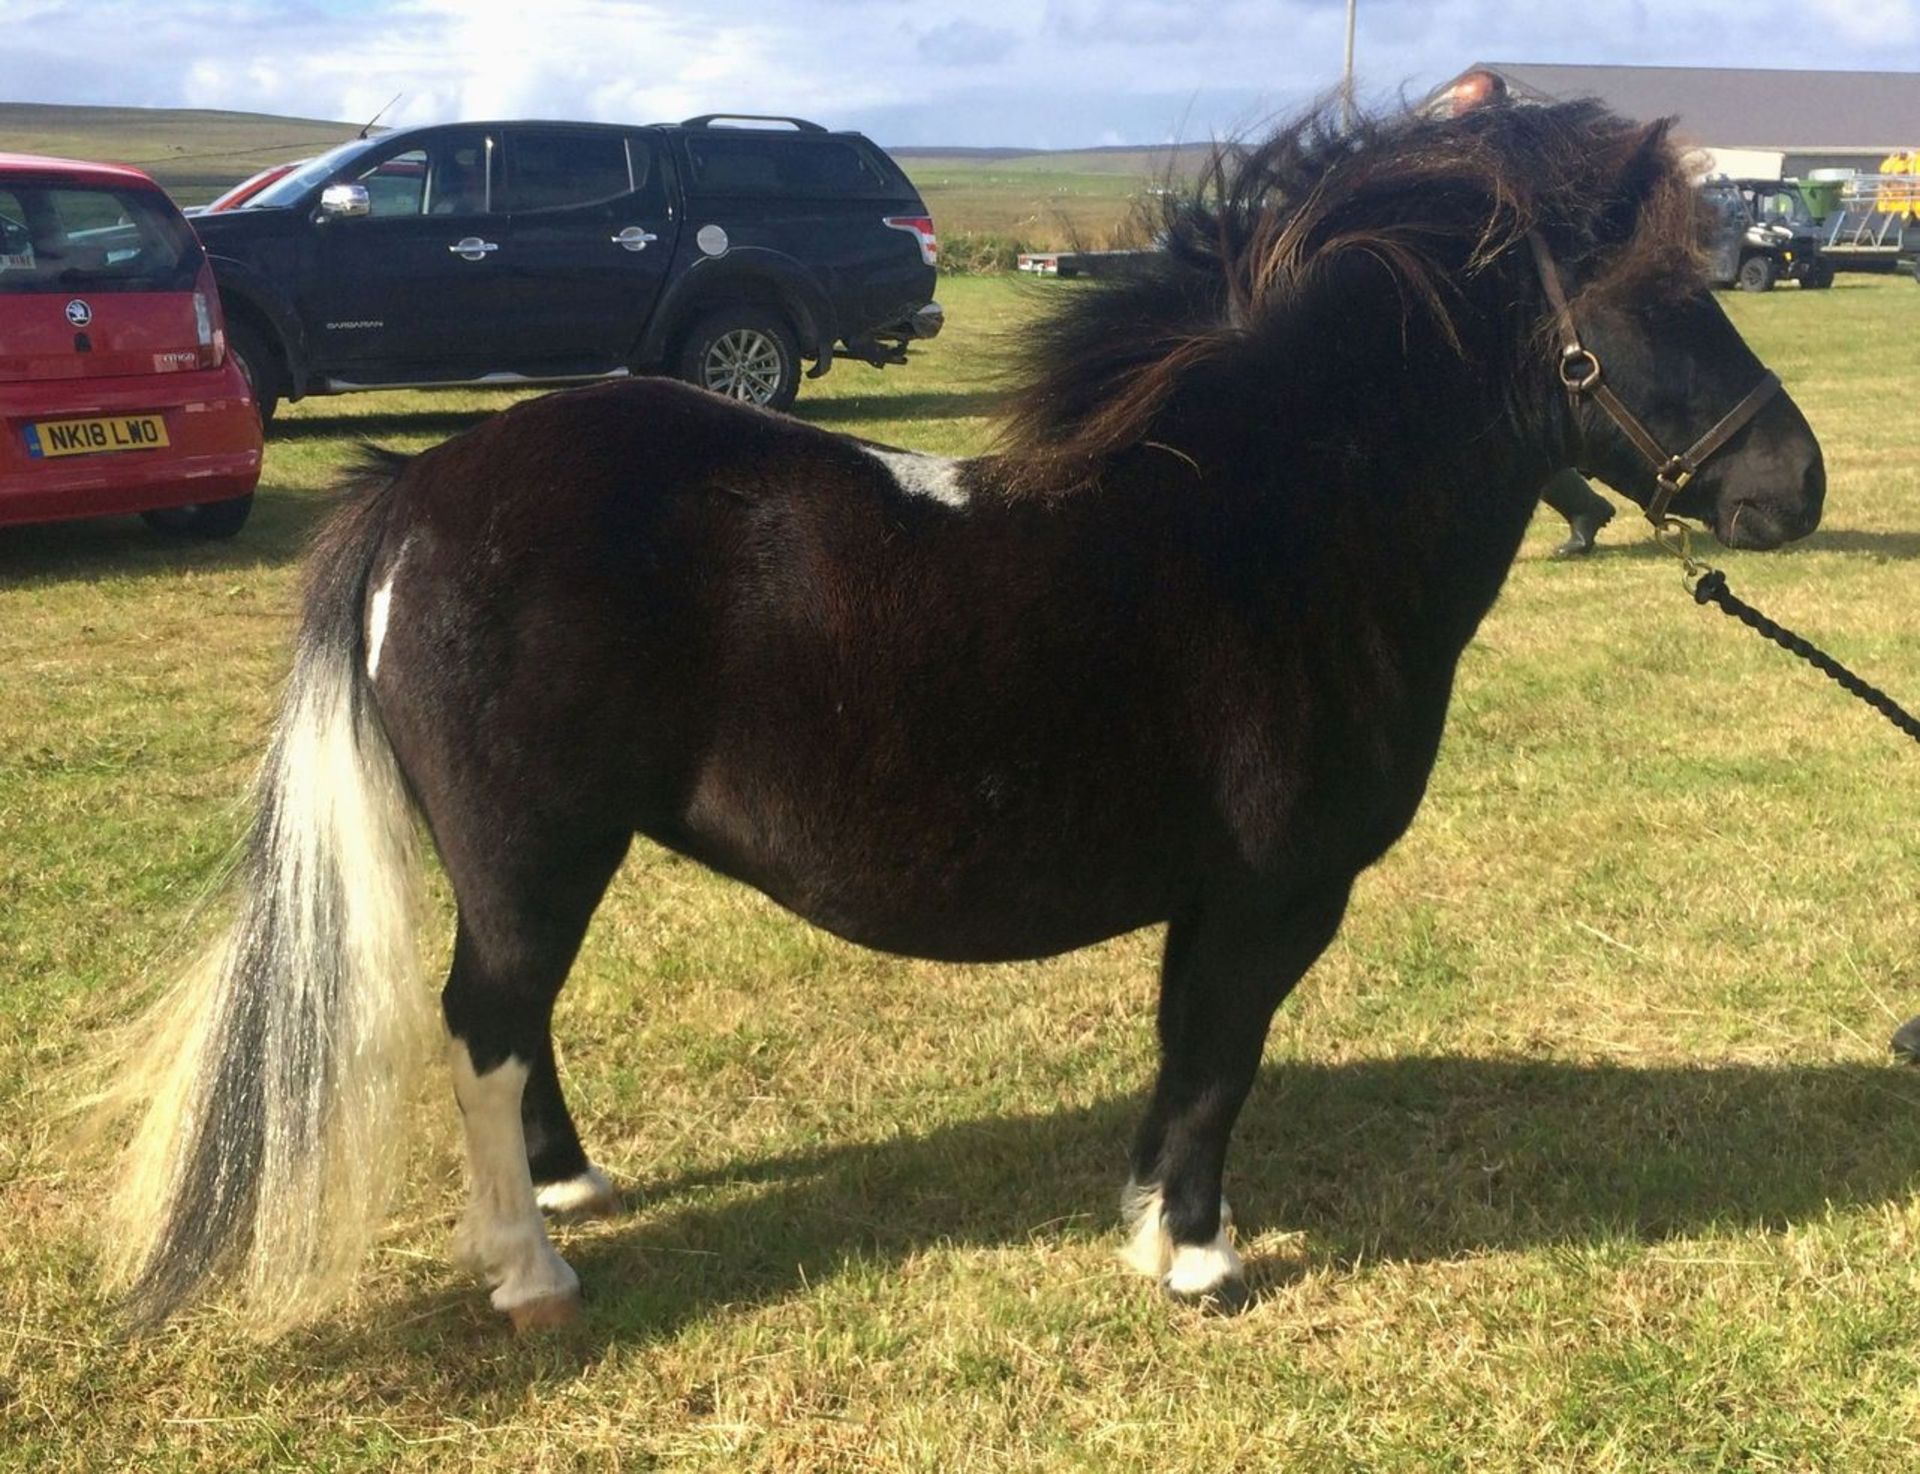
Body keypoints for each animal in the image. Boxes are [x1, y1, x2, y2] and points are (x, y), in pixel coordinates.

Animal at [108, 97, 1827, 1328]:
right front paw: (1198, 1262)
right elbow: (1222, 1057)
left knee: (518, 1029)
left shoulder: (1214, 900)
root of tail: (415, 488)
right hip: (533, 855)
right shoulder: (1273, 895)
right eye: (1664, 299)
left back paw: (577, 1190)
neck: (1279, 518)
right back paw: (533, 1270)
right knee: (485, 1022)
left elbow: (1182, 1053)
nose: (1794, 483)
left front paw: (1147, 1222)